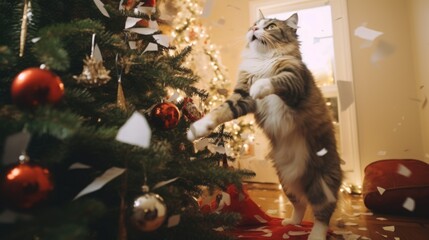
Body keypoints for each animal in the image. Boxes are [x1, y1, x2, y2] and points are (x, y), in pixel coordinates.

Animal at [186, 12, 342, 240]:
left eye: (270, 26)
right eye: (254, 24)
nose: (253, 29)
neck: (262, 59)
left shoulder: (294, 80)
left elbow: (276, 80)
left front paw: (260, 86)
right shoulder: (241, 97)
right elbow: (220, 111)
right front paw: (197, 128)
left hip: (321, 182)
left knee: (323, 213)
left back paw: (316, 234)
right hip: (286, 182)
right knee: (301, 205)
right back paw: (292, 223)